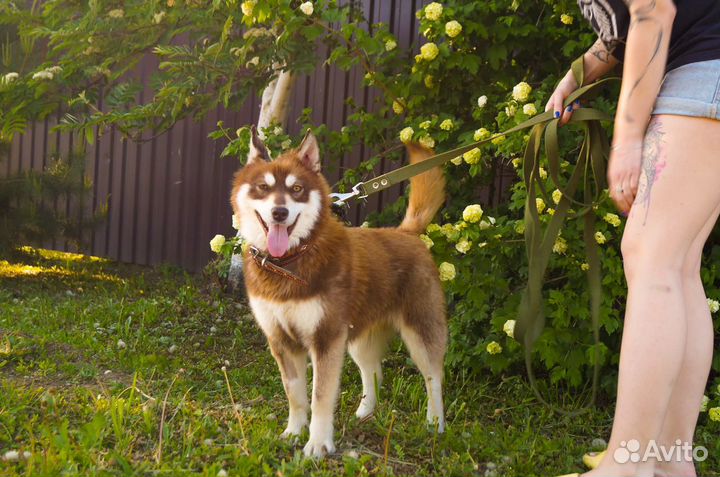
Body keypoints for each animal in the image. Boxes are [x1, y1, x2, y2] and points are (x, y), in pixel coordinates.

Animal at [229, 126, 444, 458]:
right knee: (373, 371)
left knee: (433, 378)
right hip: (357, 338)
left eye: (297, 189)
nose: (279, 212)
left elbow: (320, 398)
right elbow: (295, 395)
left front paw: (318, 444)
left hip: (421, 331)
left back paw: (436, 424)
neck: (289, 263)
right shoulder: (282, 342)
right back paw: (366, 411)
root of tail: (406, 233)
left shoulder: (326, 339)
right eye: (263, 187)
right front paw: (293, 432)